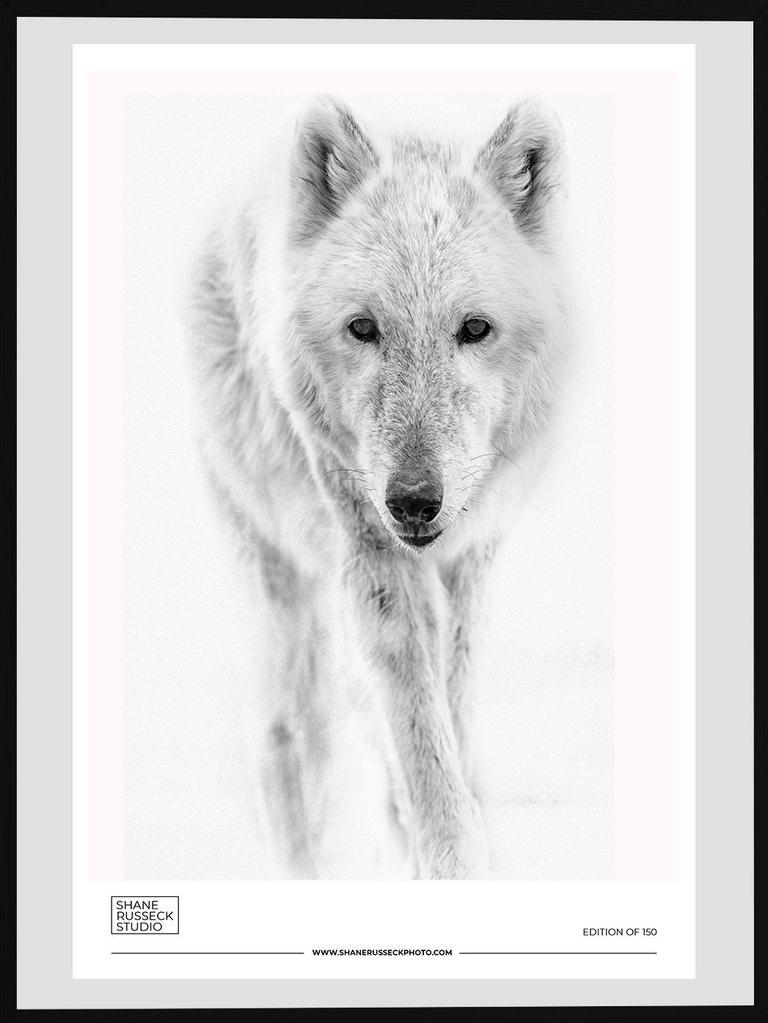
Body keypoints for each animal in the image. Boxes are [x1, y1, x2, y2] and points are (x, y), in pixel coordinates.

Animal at [185, 96, 568, 879]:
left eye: (475, 328)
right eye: (363, 327)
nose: (413, 500)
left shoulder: (470, 557)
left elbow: (448, 698)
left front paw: (447, 830)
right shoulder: (370, 548)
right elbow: (413, 706)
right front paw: (449, 851)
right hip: (283, 591)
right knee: (283, 738)